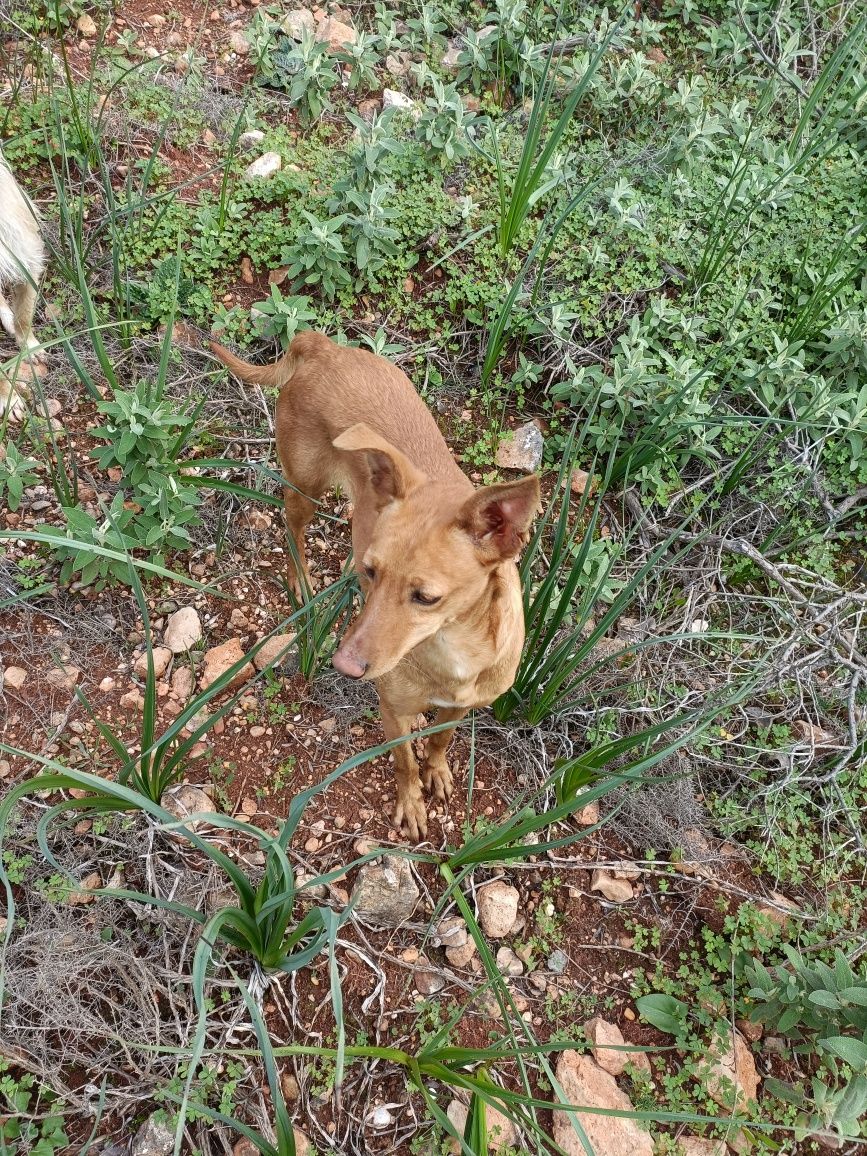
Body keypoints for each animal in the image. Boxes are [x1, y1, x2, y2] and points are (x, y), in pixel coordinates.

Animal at [211, 335, 541, 841]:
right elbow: (404, 762)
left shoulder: (461, 707)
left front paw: (437, 770)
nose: (343, 666)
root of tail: (322, 345)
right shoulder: (393, 711)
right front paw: (411, 802)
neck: (452, 650)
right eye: (373, 574)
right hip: (304, 487)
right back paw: (301, 580)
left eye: (426, 597)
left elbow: (440, 739)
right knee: (293, 531)